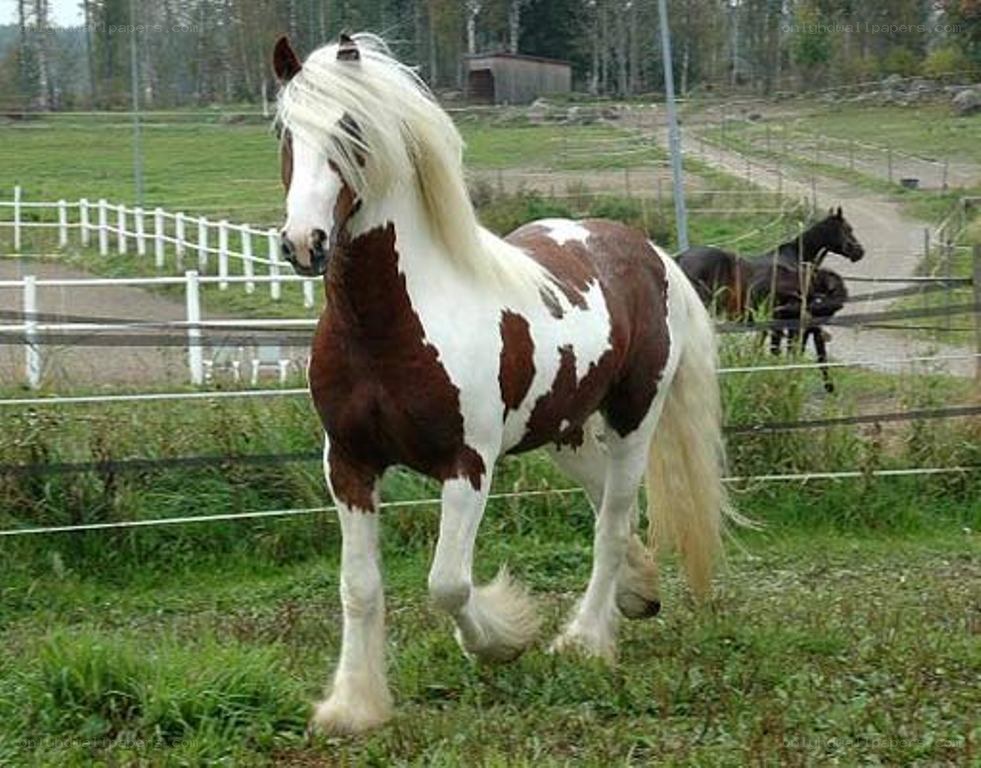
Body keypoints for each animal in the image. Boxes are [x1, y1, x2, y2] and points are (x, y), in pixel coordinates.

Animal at [273, 33, 742, 734]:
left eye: (350, 128)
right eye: (283, 131)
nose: (304, 243)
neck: (390, 325)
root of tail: (650, 254)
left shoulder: (469, 465)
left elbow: (448, 584)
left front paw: (503, 640)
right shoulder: (349, 462)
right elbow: (358, 587)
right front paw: (354, 705)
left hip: (634, 419)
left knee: (613, 520)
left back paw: (585, 639)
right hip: (564, 432)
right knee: (607, 506)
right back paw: (639, 592)